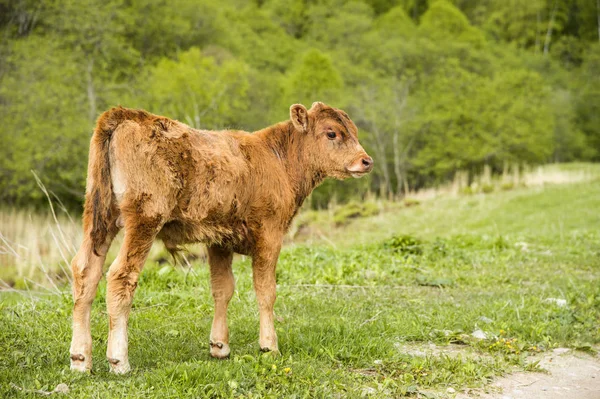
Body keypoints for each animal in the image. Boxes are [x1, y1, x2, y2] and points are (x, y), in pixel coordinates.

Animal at [68, 101, 372, 374]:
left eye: (354, 131)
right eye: (332, 133)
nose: (366, 161)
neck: (279, 161)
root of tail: (127, 114)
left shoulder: (219, 239)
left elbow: (222, 288)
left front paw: (219, 346)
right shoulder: (270, 234)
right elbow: (266, 291)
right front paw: (269, 346)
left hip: (98, 216)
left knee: (85, 270)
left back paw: (80, 359)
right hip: (144, 217)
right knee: (120, 275)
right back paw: (119, 360)